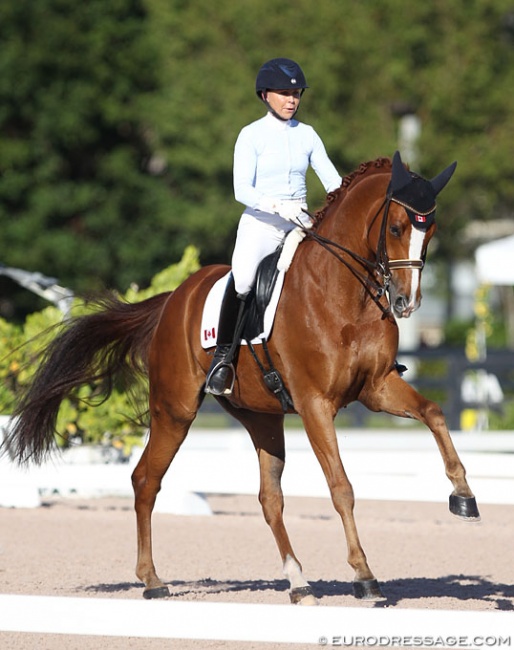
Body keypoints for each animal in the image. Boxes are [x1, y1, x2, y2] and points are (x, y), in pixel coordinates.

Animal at [4, 151, 478, 604]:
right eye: (396, 227)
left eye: (430, 231)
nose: (405, 301)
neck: (346, 293)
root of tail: (173, 299)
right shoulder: (315, 404)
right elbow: (341, 487)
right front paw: (364, 576)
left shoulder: (377, 388)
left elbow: (434, 413)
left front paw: (464, 497)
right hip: (175, 410)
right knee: (145, 480)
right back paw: (152, 580)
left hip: (261, 416)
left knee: (269, 499)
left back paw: (298, 582)